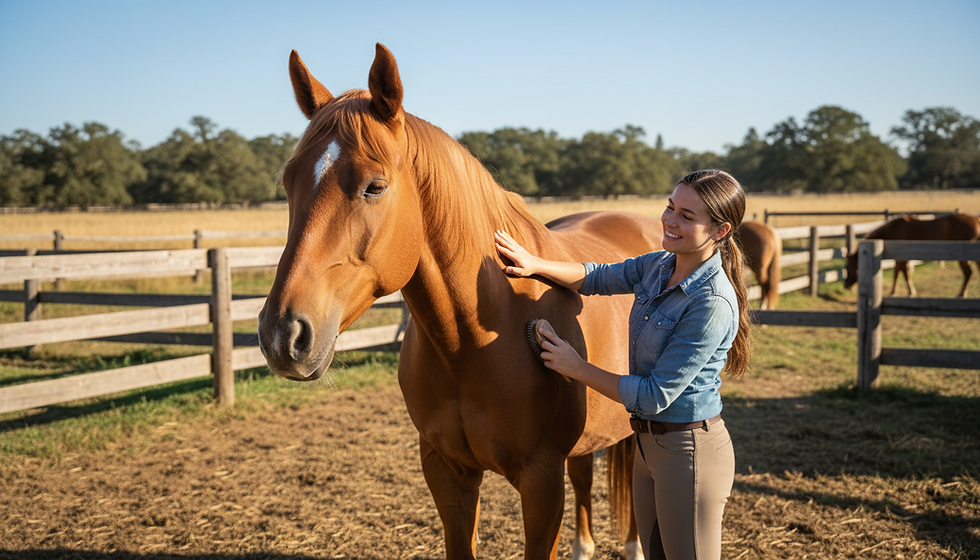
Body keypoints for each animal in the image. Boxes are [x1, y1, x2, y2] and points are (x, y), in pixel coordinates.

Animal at [257, 44, 663, 560]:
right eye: (288, 181)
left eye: (374, 186)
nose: (282, 335)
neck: (477, 336)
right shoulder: (446, 472)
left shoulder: (541, 482)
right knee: (585, 472)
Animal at [844, 213, 980, 297]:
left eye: (848, 268)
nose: (846, 285)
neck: (892, 230)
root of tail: (976, 220)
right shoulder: (899, 258)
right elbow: (897, 273)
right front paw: (893, 292)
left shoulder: (902, 258)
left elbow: (904, 273)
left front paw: (911, 292)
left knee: (968, 273)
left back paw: (961, 294)